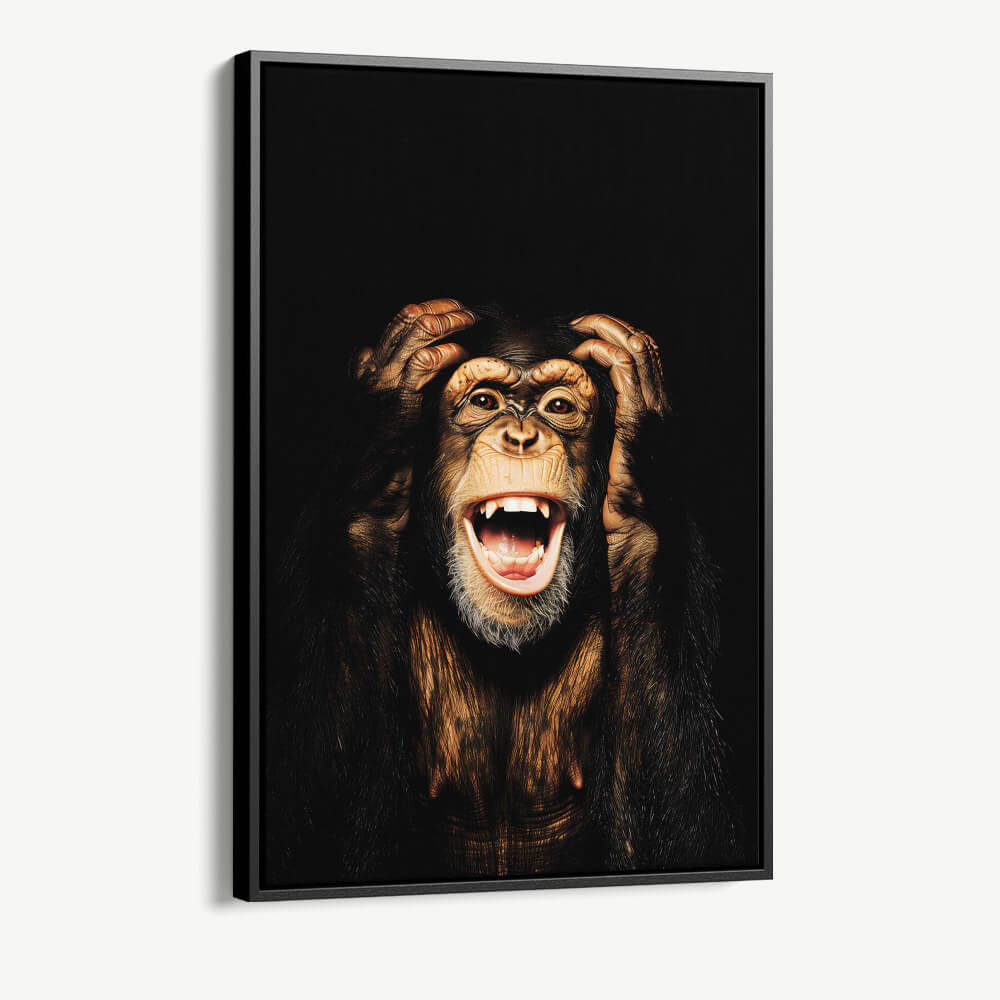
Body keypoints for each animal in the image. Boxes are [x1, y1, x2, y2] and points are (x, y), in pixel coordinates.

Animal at [266, 298, 735, 884]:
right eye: (485, 401)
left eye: (558, 407)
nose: (521, 435)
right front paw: (389, 408)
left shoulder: (688, 569)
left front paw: (639, 431)